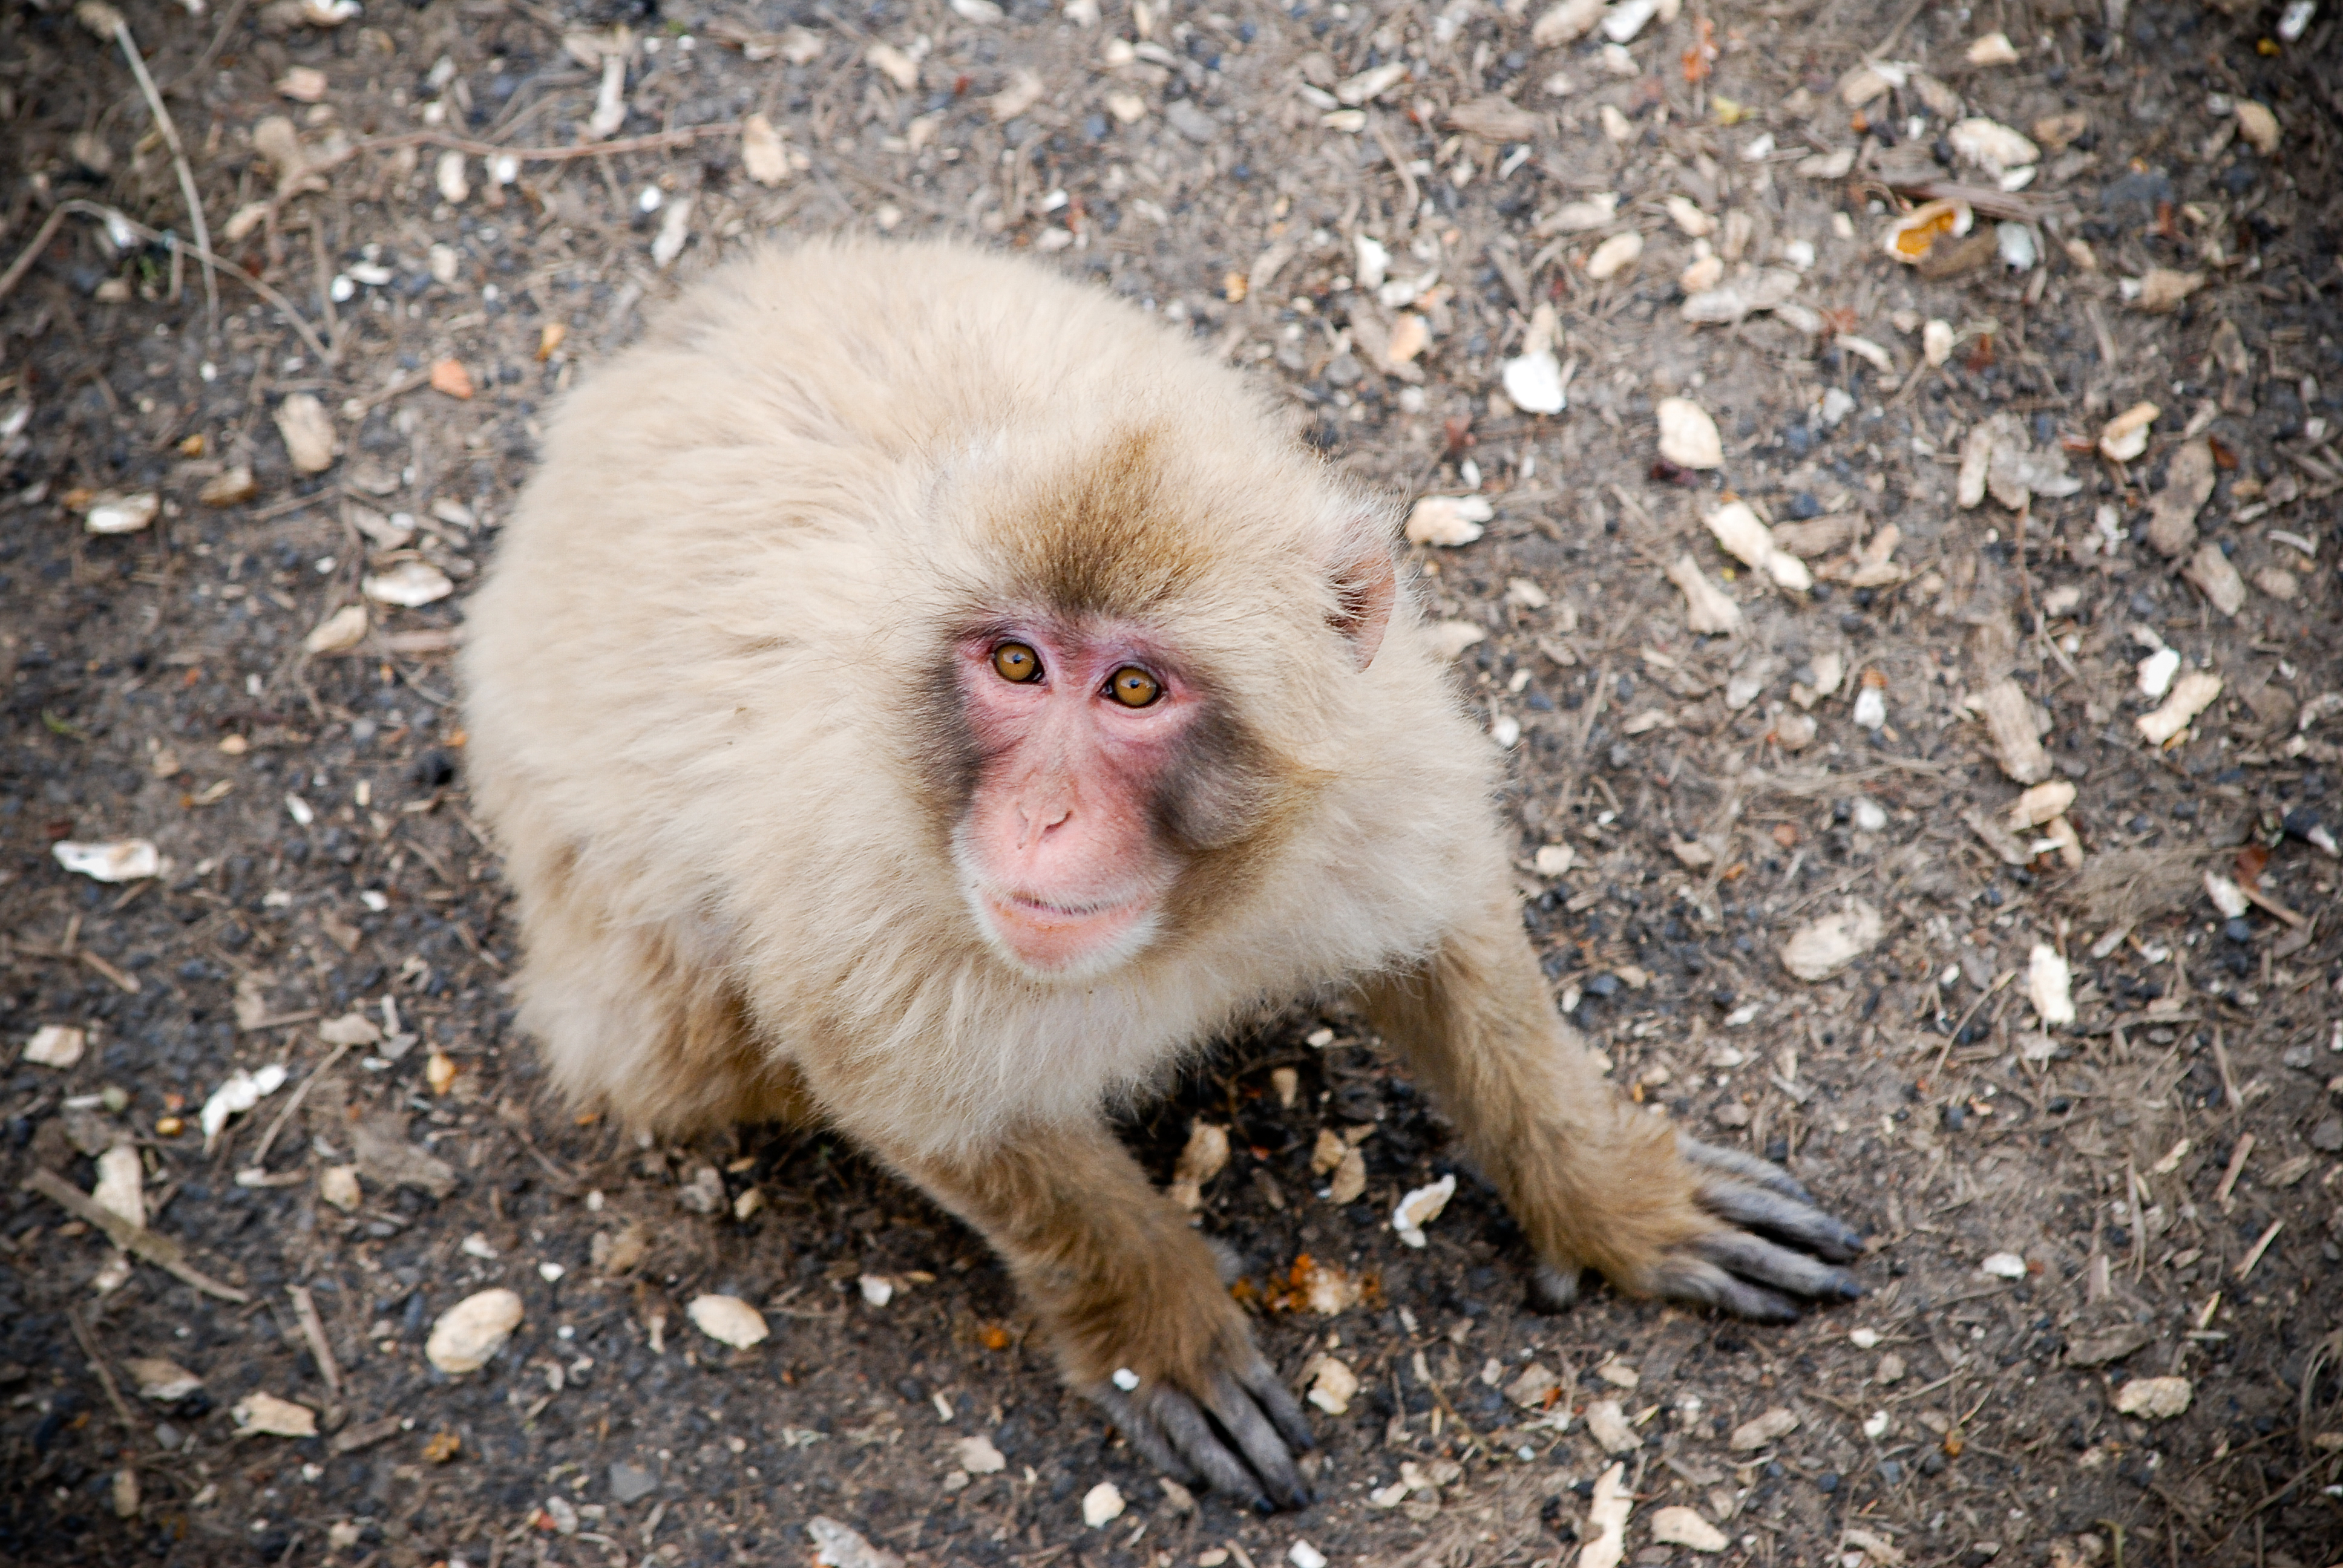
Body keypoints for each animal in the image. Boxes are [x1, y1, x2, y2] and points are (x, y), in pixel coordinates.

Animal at [460, 237, 1863, 1512]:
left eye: (1134, 688)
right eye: (1016, 664)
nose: (1042, 816)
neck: (1190, 916)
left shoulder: (1375, 762)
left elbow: (1453, 939)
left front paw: (1612, 1192)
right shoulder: (856, 901)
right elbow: (945, 1123)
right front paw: (1155, 1331)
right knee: (678, 1049)